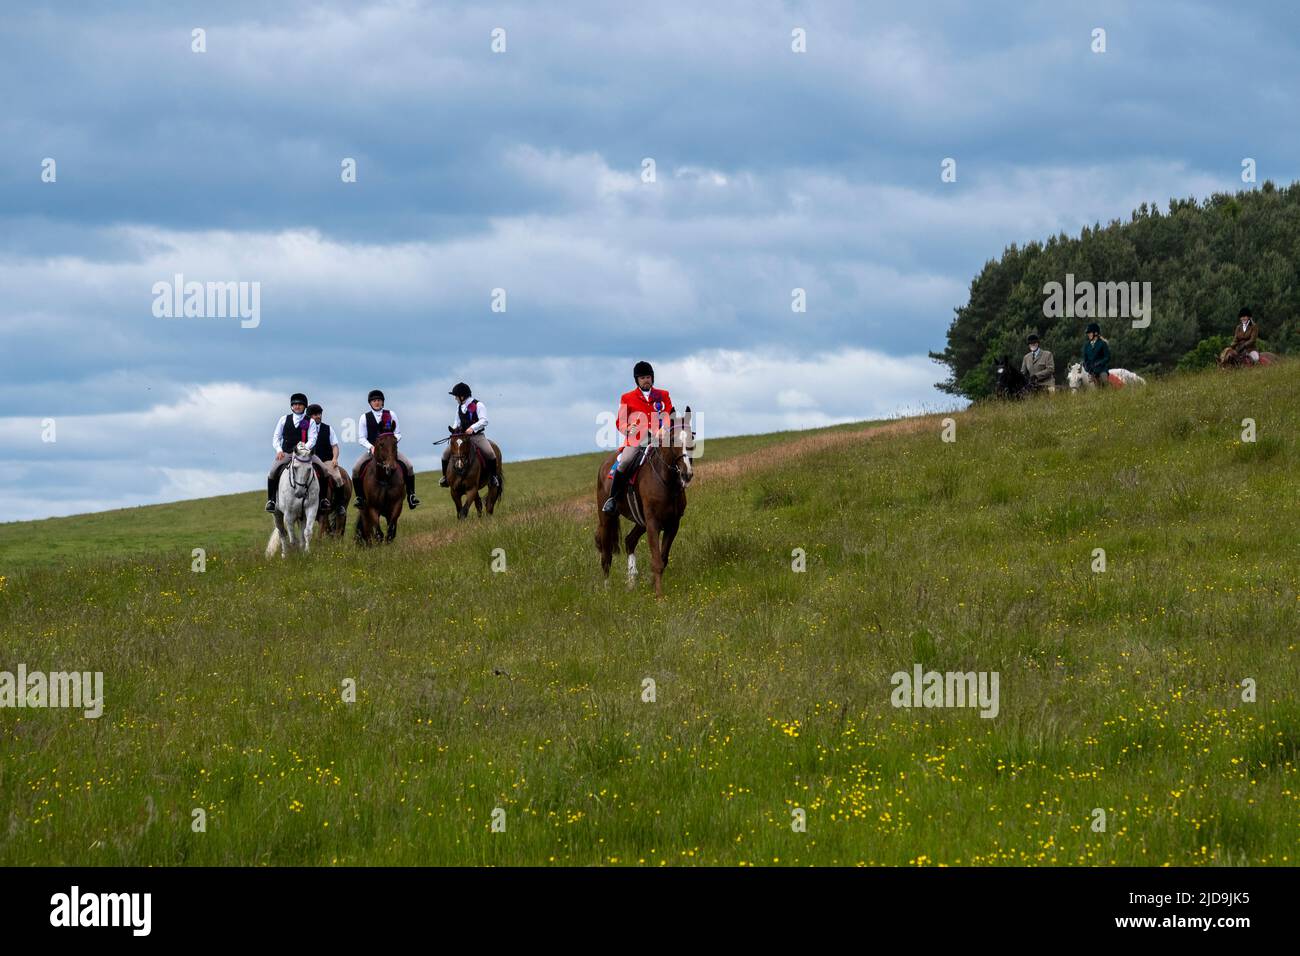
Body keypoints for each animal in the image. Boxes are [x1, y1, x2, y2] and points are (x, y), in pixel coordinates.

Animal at [595, 405, 696, 598]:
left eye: (692, 437)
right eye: (672, 440)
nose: (686, 474)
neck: (666, 481)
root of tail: (604, 465)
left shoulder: (672, 524)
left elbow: (662, 559)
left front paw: (651, 585)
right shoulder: (653, 523)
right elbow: (656, 560)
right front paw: (659, 596)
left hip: (640, 522)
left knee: (629, 541)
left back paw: (631, 582)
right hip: (607, 519)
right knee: (606, 555)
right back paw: (606, 590)